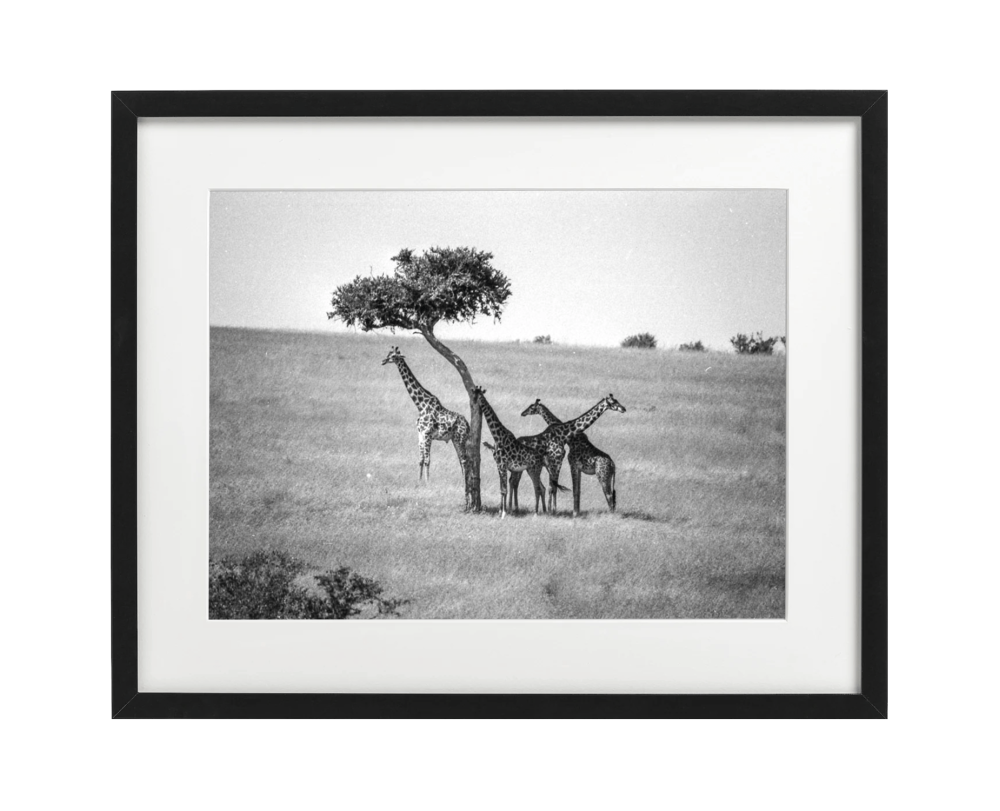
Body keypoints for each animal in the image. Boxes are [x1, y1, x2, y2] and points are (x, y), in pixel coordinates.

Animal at [381, 346, 470, 490]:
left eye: (393, 356)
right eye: (388, 354)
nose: (383, 361)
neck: (420, 404)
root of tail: (468, 425)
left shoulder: (427, 434)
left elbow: (428, 460)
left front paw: (428, 483)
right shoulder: (420, 434)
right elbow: (420, 460)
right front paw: (419, 481)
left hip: (460, 438)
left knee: (464, 460)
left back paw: (465, 484)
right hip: (455, 440)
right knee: (462, 460)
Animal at [472, 386, 547, 518]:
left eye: (479, 396)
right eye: (474, 395)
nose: (474, 403)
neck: (498, 437)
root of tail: (541, 458)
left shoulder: (503, 465)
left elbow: (505, 490)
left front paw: (504, 513)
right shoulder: (499, 466)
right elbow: (501, 489)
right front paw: (500, 511)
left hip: (535, 470)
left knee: (537, 488)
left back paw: (536, 513)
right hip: (530, 470)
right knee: (540, 488)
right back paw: (541, 511)